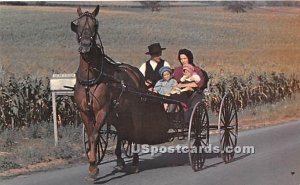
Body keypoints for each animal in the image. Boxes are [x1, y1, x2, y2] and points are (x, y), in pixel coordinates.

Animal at [69, 5, 169, 179]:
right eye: (78, 25)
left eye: (95, 25)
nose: (86, 45)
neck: (91, 77)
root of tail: (136, 72)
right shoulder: (84, 112)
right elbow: (91, 134)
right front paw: (93, 163)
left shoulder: (102, 110)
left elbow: (95, 135)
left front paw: (93, 168)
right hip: (119, 113)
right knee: (122, 132)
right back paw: (120, 160)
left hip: (134, 111)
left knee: (135, 131)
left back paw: (134, 162)